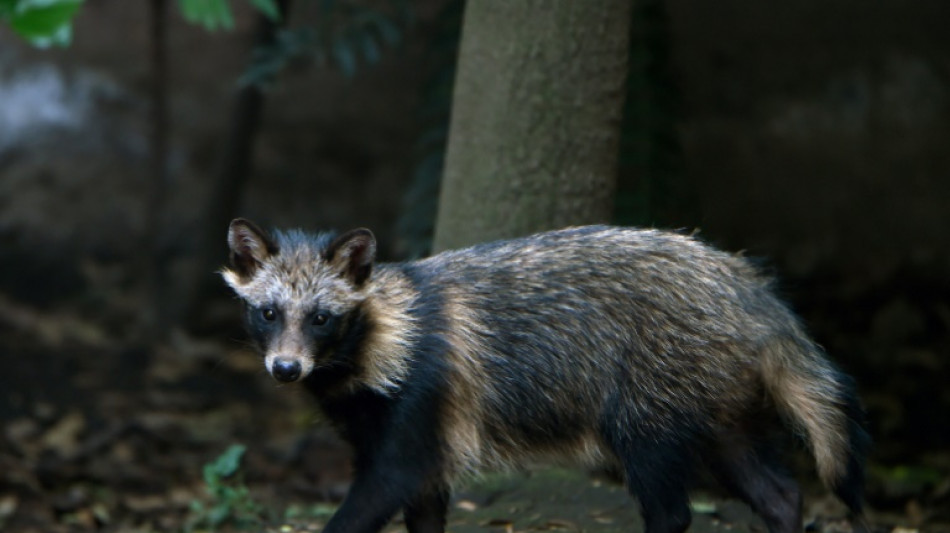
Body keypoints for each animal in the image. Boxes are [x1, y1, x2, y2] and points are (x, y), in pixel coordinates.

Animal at [221, 219, 869, 533]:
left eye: (322, 318)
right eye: (269, 313)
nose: (286, 368)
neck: (382, 333)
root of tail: (744, 284)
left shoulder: (416, 415)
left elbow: (368, 504)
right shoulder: (415, 443)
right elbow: (424, 513)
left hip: (648, 399)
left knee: (670, 510)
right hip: (714, 404)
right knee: (778, 492)